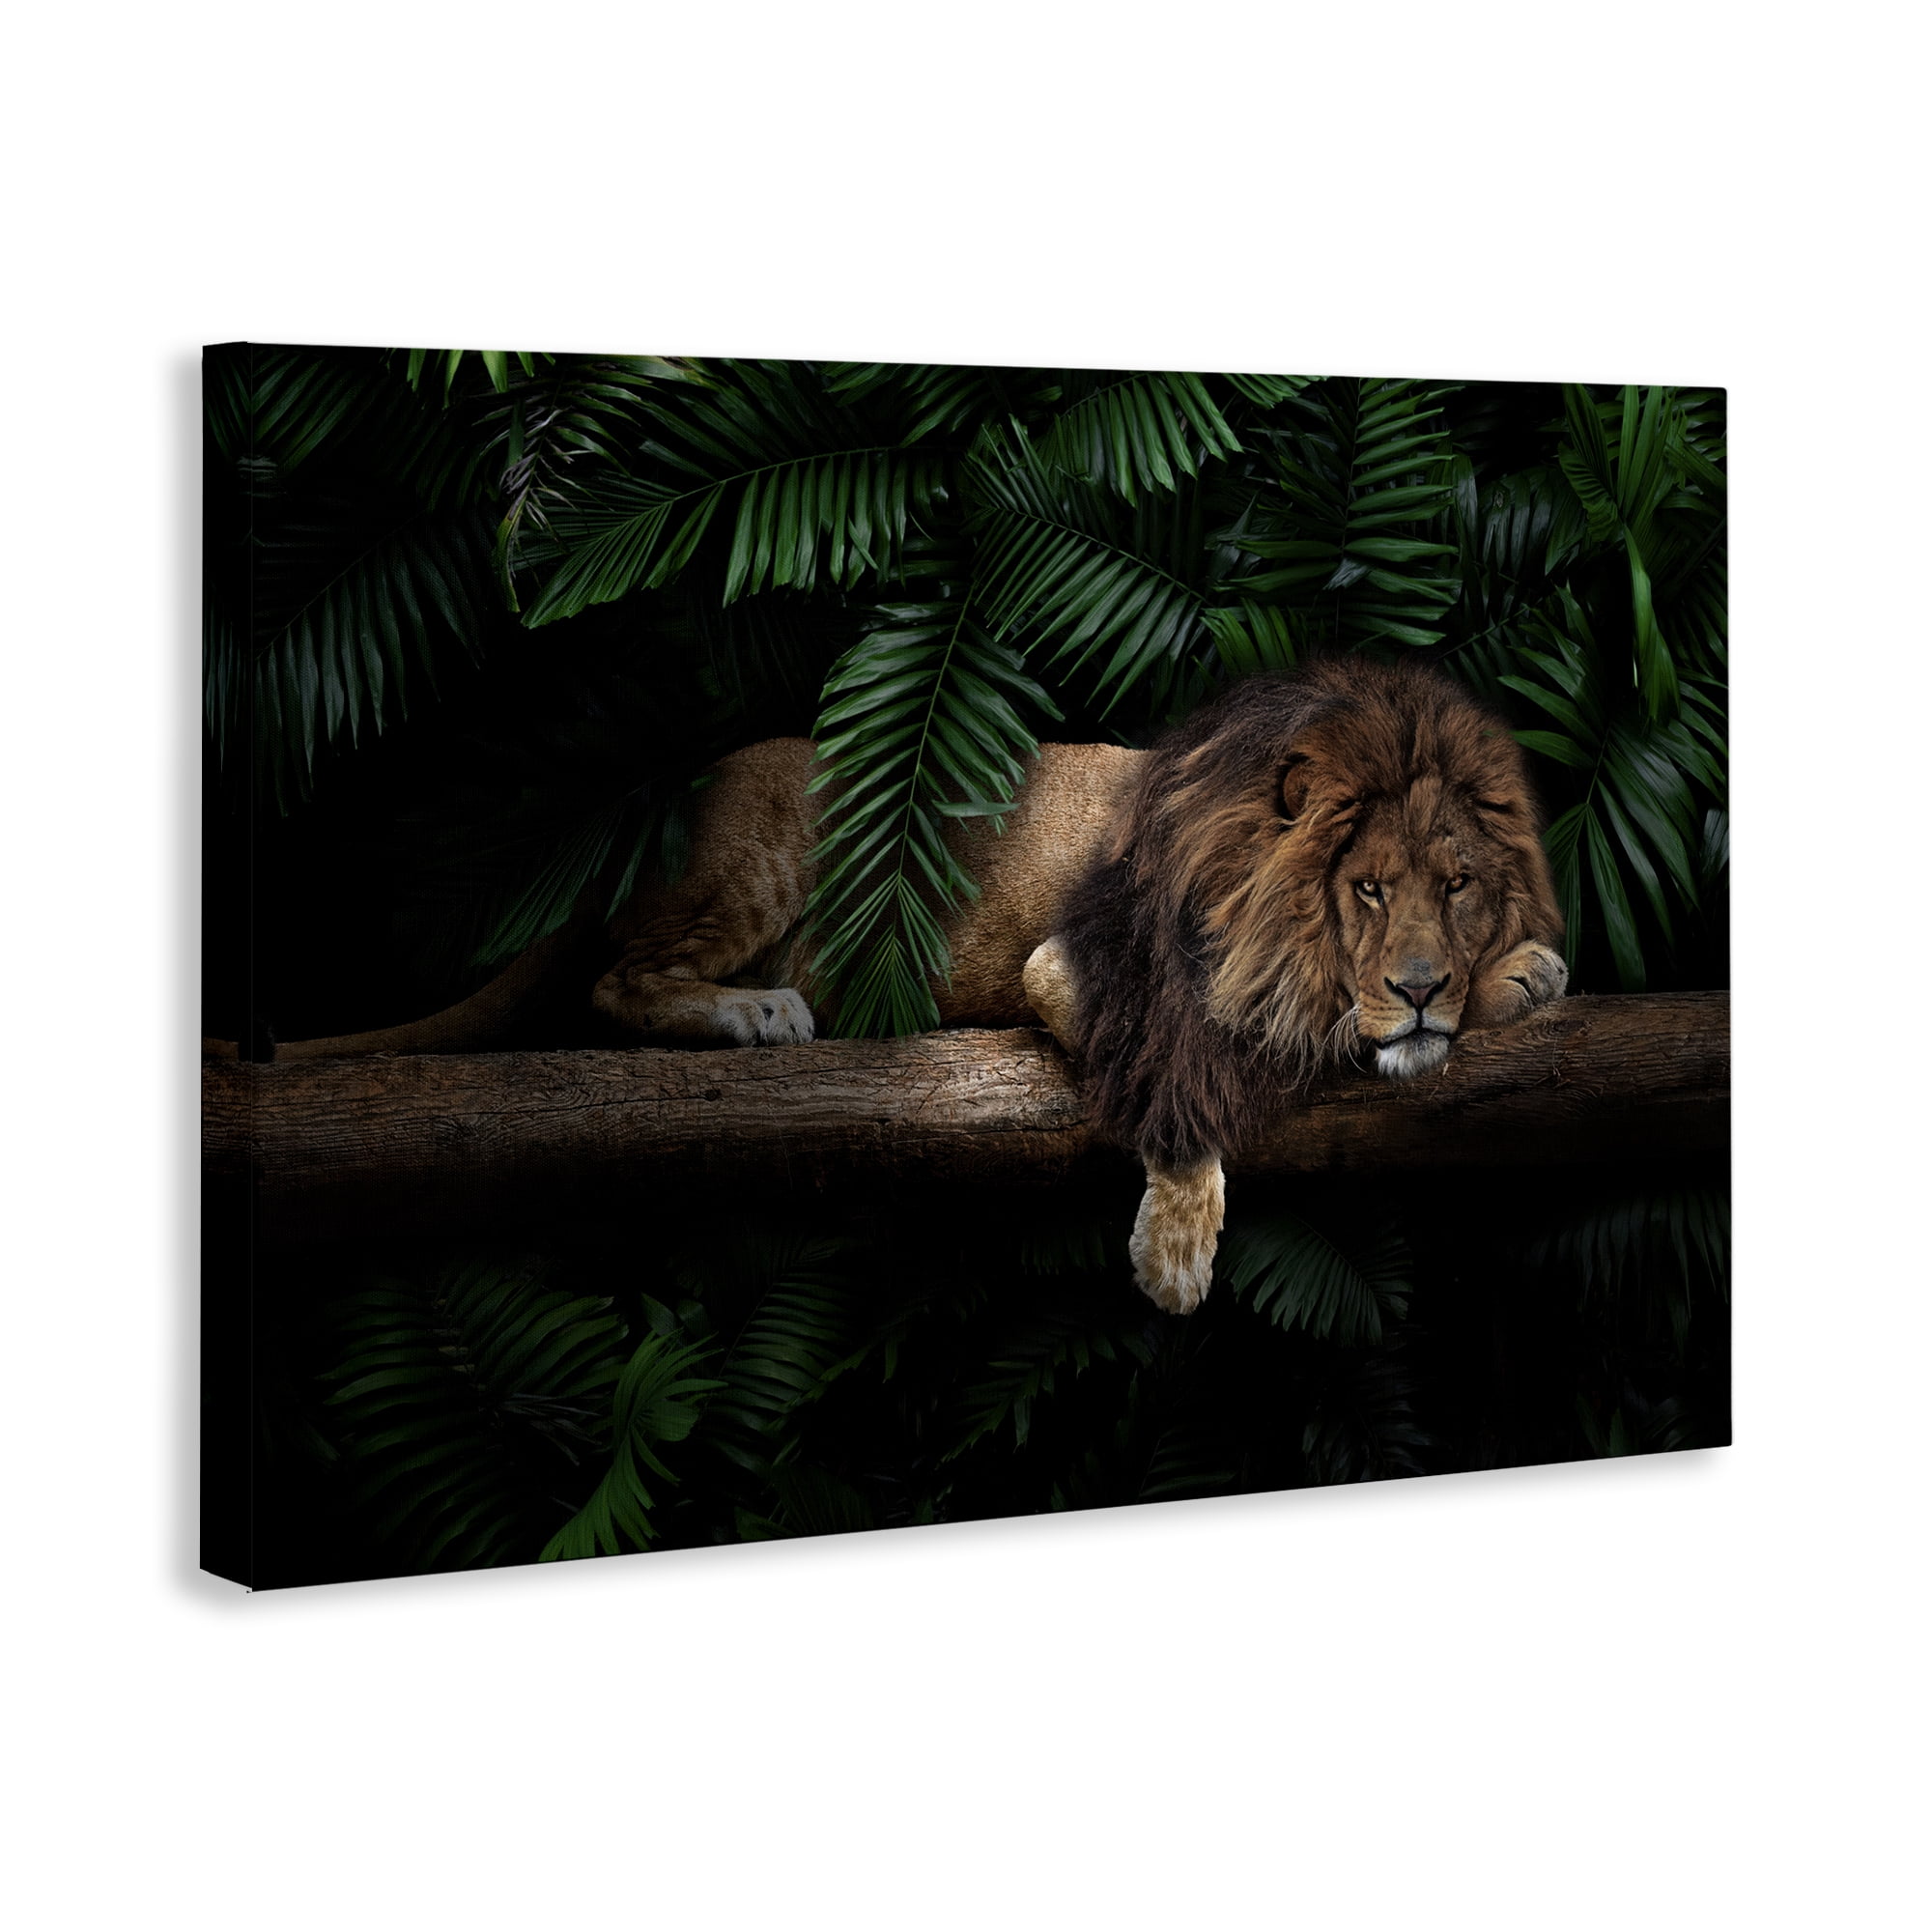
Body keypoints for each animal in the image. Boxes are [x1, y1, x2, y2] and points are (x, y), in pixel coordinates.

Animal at [227, 658, 1566, 1313]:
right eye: (1366, 890)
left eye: (1454, 883)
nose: (1421, 985)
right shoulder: (1076, 967)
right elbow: (1212, 1069)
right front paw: (1176, 1252)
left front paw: (1517, 971)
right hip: (768, 849)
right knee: (618, 980)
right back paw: (759, 1012)